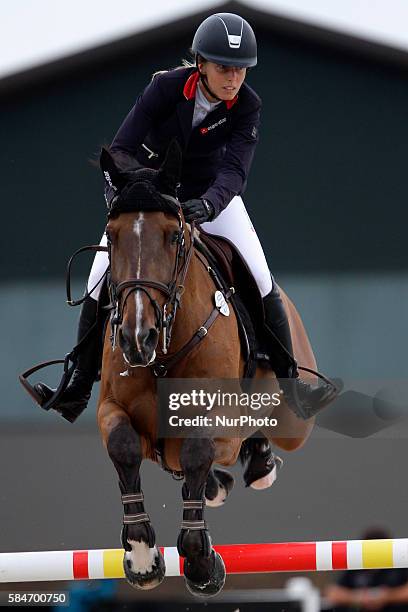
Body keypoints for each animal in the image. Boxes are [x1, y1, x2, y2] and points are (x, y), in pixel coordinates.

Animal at [97, 141, 318, 596]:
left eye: (173, 235)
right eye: (112, 236)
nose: (137, 338)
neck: (161, 356)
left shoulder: (221, 423)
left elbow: (197, 449)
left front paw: (201, 563)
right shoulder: (110, 408)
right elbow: (123, 446)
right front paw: (141, 557)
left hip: (294, 423)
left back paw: (261, 464)